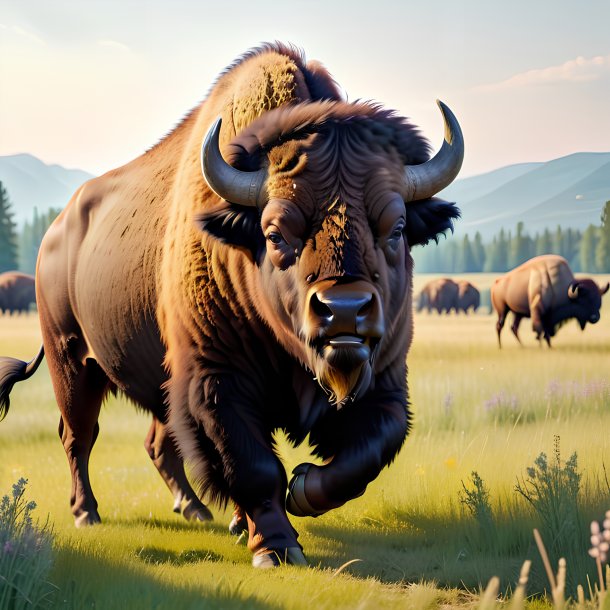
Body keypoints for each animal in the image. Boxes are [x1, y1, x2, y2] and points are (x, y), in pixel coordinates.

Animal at [0, 45, 460, 568]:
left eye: (397, 228)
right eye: (275, 232)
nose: (343, 311)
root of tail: (56, 232)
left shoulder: (383, 381)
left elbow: (369, 452)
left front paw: (302, 490)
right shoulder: (215, 381)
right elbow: (252, 465)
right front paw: (276, 547)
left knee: (156, 443)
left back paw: (197, 510)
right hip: (72, 360)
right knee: (78, 435)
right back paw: (87, 513)